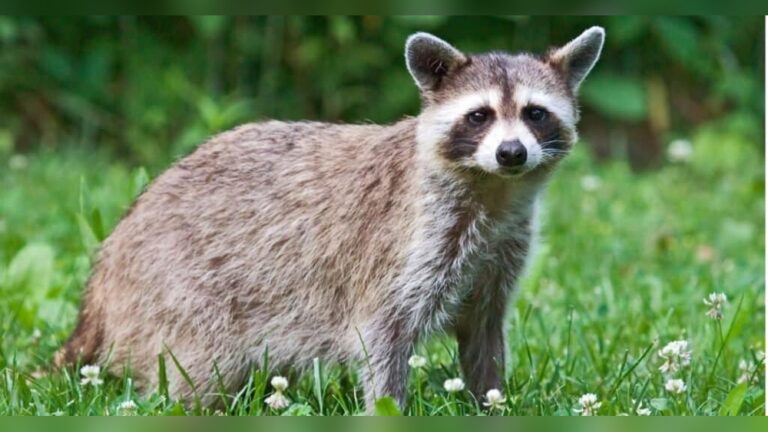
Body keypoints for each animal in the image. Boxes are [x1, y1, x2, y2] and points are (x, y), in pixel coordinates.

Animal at [56, 27, 605, 411]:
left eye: (535, 113)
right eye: (479, 116)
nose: (511, 153)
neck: (494, 191)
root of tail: (109, 264)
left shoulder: (499, 253)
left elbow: (485, 335)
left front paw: (490, 402)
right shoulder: (405, 246)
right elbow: (381, 336)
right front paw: (389, 411)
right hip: (177, 294)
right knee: (200, 376)